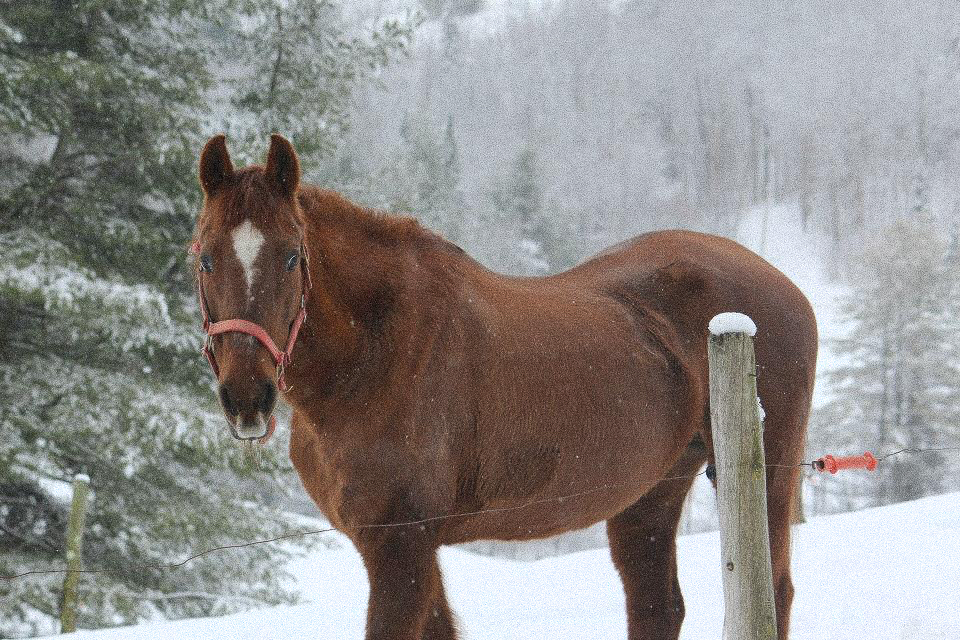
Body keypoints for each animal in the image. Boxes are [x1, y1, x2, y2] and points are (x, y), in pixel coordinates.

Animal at [191, 135, 812, 640]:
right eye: (204, 258)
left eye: (292, 256)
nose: (246, 397)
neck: (377, 354)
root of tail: (783, 286)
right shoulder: (401, 547)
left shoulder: (400, 548)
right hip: (650, 494)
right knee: (657, 607)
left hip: (767, 477)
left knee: (776, 593)